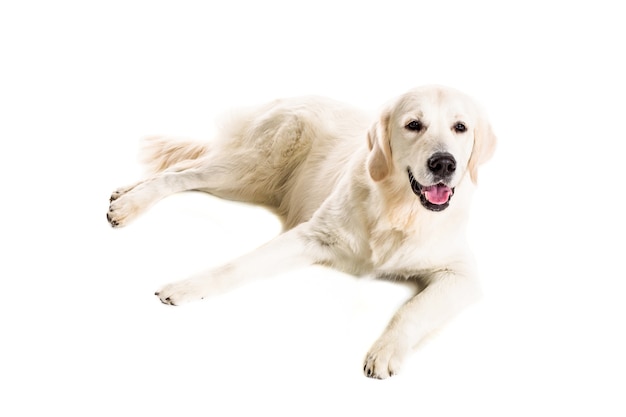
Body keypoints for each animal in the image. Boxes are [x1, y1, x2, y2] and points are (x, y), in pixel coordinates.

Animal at [108, 84, 498, 376]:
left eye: (460, 127)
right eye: (414, 125)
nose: (444, 163)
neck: (399, 209)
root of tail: (288, 96)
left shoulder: (460, 274)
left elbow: (413, 308)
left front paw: (385, 351)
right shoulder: (311, 236)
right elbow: (238, 266)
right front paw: (187, 287)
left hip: (246, 182)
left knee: (183, 166)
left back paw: (122, 194)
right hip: (249, 170)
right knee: (181, 174)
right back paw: (129, 205)